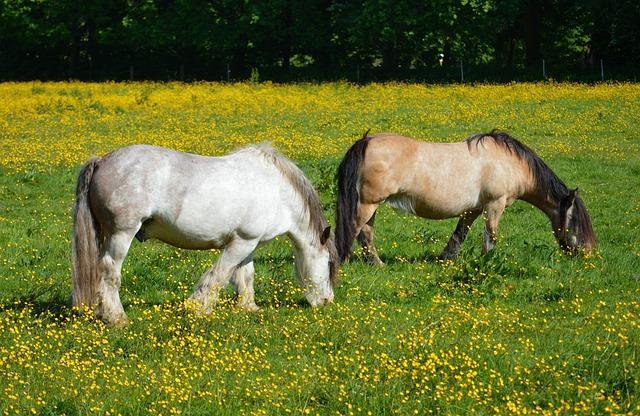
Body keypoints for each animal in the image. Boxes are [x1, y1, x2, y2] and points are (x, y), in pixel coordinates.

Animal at [72, 143, 338, 324]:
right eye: (330, 264)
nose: (327, 302)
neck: (275, 190)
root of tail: (102, 160)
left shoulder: (248, 244)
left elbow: (245, 276)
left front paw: (248, 308)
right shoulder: (240, 243)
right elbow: (220, 274)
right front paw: (199, 307)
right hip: (121, 234)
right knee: (109, 273)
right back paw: (117, 318)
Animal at [338, 132, 596, 264]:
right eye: (576, 222)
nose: (588, 253)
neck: (508, 162)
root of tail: (366, 141)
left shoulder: (473, 209)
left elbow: (459, 234)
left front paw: (447, 258)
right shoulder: (495, 204)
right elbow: (491, 235)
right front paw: (486, 262)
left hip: (371, 206)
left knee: (366, 234)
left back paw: (376, 263)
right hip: (367, 204)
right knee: (354, 231)